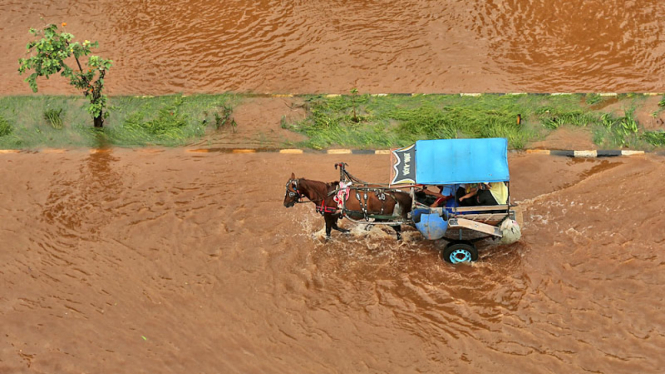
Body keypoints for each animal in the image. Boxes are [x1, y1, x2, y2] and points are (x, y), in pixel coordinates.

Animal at [282, 173, 410, 240]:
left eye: (289, 191)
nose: (285, 204)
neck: (326, 194)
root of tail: (392, 193)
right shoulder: (333, 215)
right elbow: (334, 227)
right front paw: (349, 231)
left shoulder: (328, 215)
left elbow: (329, 230)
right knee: (395, 227)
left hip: (385, 216)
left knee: (396, 227)